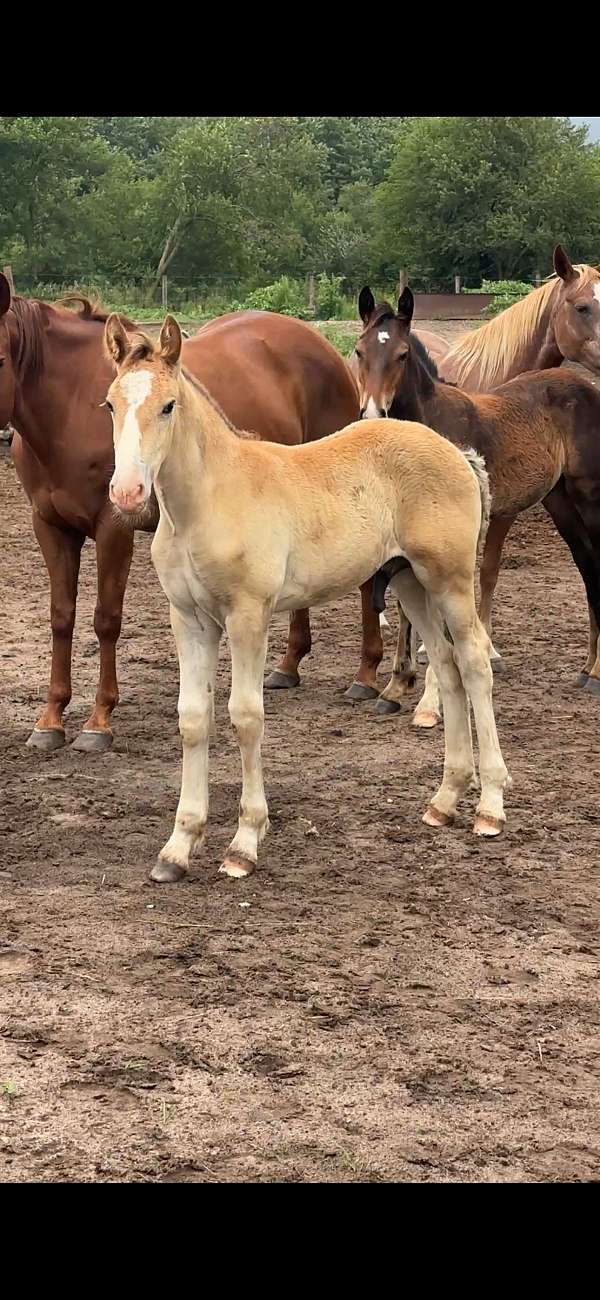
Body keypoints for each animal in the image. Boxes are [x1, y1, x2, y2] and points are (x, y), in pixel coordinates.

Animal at [0, 276, 392, 753]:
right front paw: (51, 719)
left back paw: (366, 675)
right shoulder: (50, 527)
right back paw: (288, 665)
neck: (67, 408)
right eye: (106, 405)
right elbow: (61, 618)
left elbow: (106, 619)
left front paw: (98, 721)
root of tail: (323, 347)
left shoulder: (114, 528)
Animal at [104, 312, 510, 881]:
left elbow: (245, 716)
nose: (127, 495)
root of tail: (456, 451)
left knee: (474, 665)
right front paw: (178, 847)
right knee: (448, 668)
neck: (207, 501)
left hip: (448, 580)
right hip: (410, 582)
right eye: (109, 404)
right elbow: (193, 719)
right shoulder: (189, 619)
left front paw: (244, 843)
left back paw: (490, 806)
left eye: (168, 405)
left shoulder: (248, 616)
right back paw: (444, 801)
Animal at [353, 285, 600, 724]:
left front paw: (429, 703)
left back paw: (598, 671)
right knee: (588, 568)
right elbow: (407, 608)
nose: (373, 413)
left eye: (402, 354)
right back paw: (587, 670)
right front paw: (395, 686)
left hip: (590, 495)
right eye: (358, 350)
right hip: (561, 504)